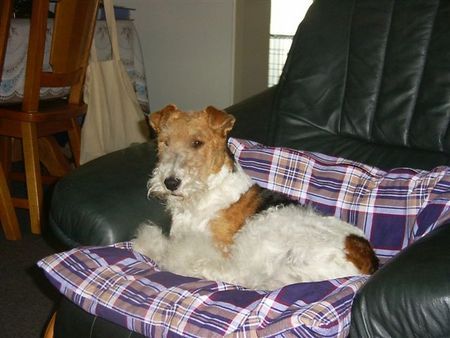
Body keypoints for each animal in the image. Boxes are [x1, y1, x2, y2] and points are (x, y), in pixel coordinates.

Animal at [132, 104, 378, 290]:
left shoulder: (220, 248)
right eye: (165, 142)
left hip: (267, 235)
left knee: (239, 276)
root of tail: (369, 265)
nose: (171, 183)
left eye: (197, 143)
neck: (203, 195)